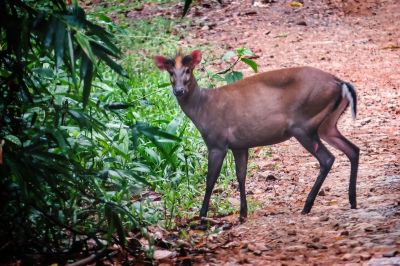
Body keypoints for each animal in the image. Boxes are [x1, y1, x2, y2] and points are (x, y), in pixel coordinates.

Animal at [154, 48, 360, 225]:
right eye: (170, 72)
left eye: (188, 70)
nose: (178, 90)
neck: (202, 108)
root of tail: (340, 83)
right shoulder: (239, 145)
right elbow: (241, 176)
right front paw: (242, 214)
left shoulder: (216, 142)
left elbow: (210, 179)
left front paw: (202, 217)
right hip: (327, 125)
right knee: (353, 149)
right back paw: (352, 200)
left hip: (303, 125)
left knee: (327, 158)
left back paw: (307, 206)